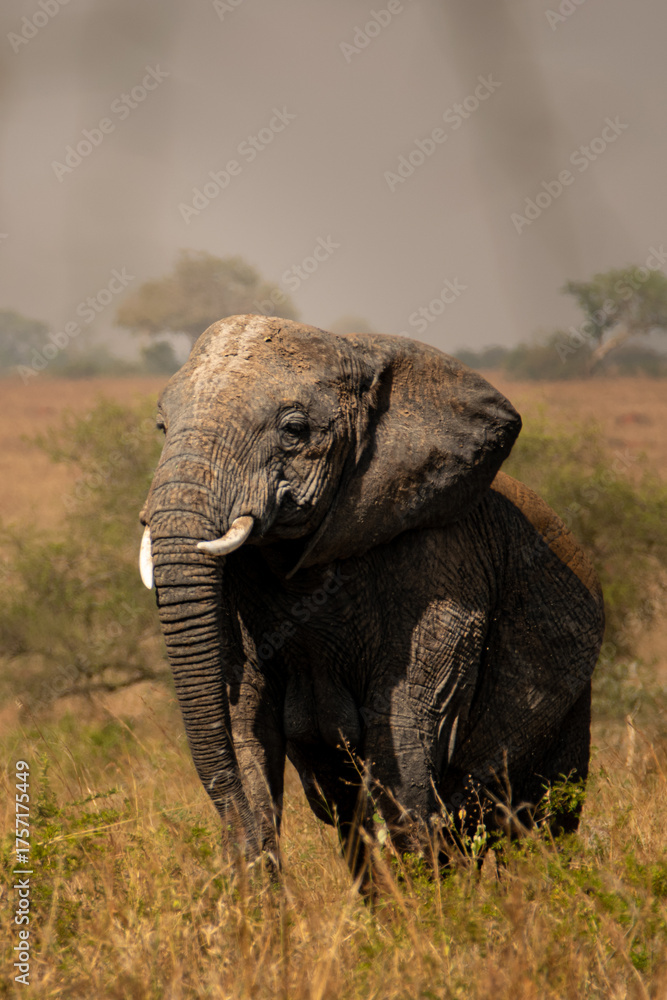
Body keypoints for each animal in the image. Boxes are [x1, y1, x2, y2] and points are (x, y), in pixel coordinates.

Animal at [139, 314, 604, 884]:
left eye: (294, 430)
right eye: (162, 428)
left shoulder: (441, 562)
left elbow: (404, 723)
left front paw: (426, 903)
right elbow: (246, 721)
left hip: (572, 699)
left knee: (538, 826)